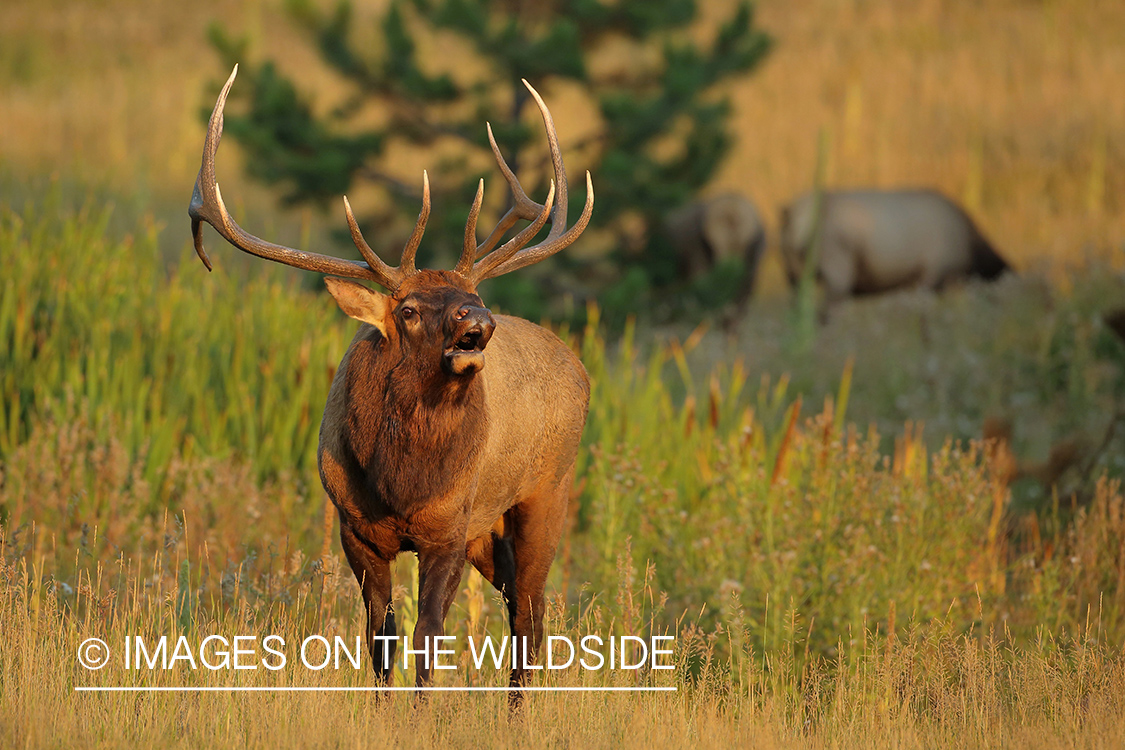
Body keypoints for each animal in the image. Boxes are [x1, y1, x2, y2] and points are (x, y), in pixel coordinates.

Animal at [191, 67, 598, 697]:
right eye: (407, 310)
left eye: (473, 296)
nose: (479, 324)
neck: (400, 482)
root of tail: (576, 364)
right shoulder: (355, 529)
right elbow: (380, 636)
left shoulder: (450, 528)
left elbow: (428, 633)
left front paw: (418, 706)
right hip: (492, 533)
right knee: (521, 609)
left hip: (545, 493)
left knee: (530, 615)